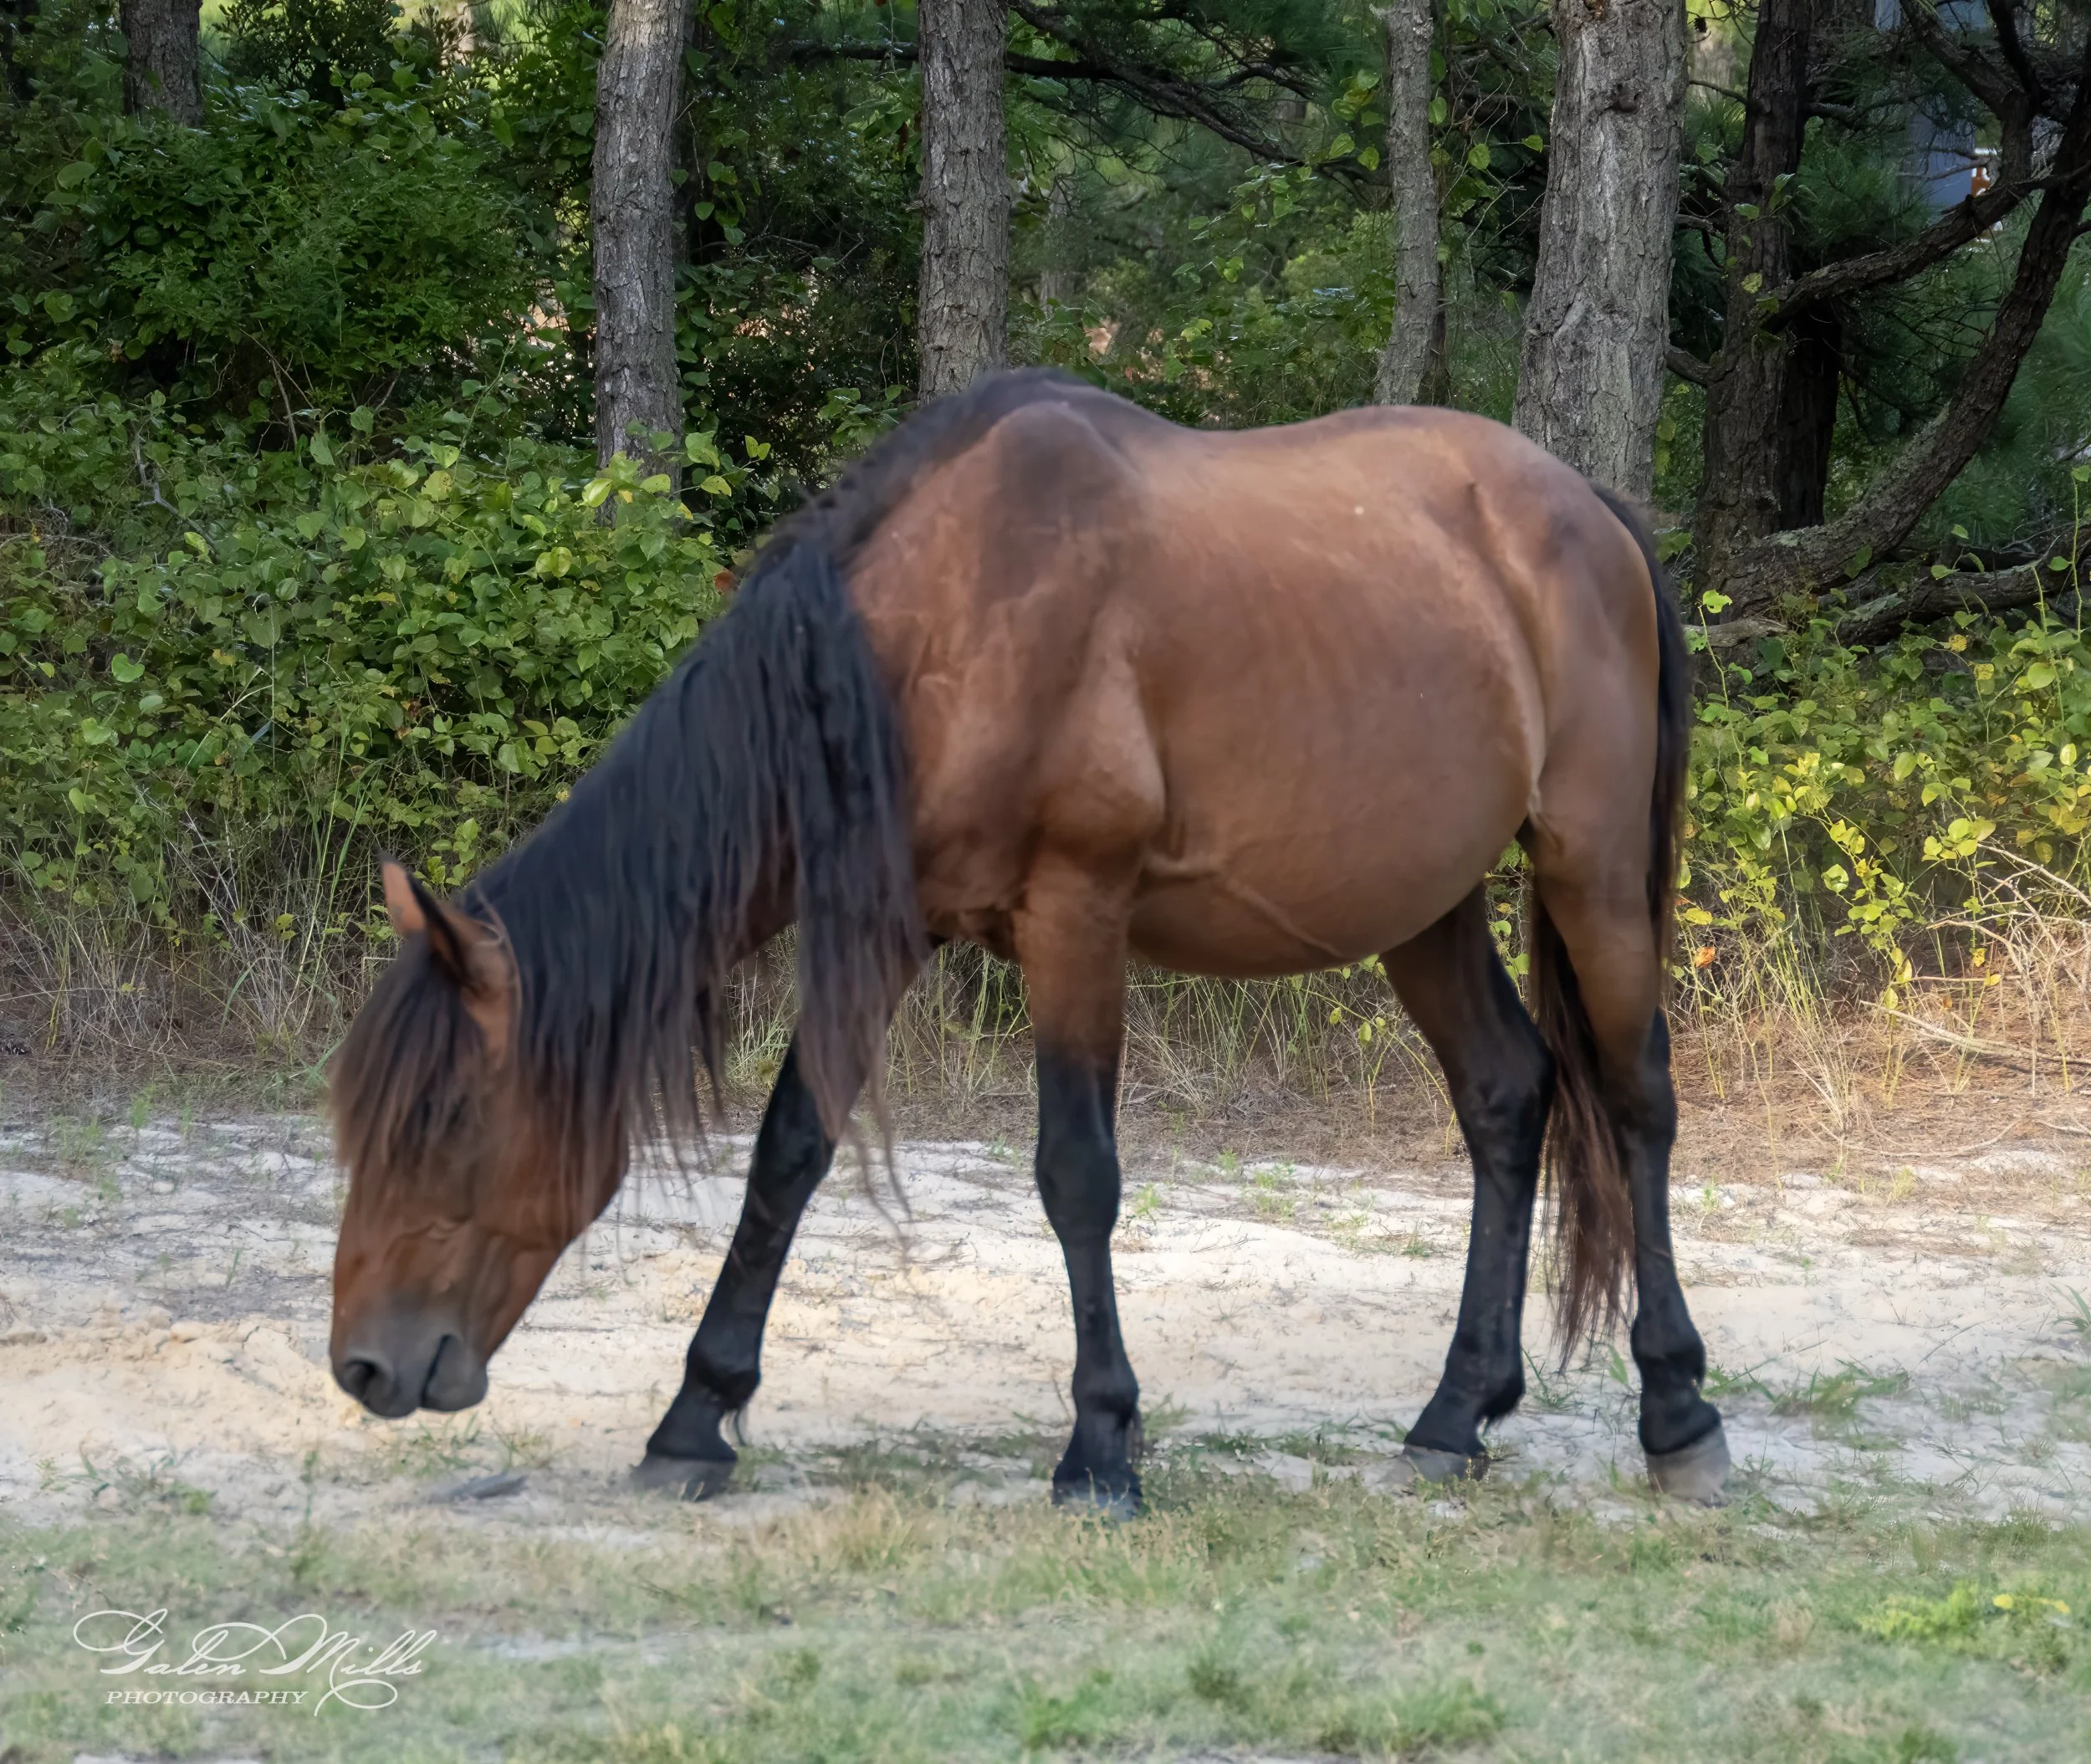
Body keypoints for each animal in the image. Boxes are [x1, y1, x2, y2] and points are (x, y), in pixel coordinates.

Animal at [327, 369, 1730, 1513]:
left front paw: (1102, 1446)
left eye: (446, 1118)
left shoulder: (1076, 914)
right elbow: (789, 1155)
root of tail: (1588, 506)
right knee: (1507, 1093)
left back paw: (1679, 1412)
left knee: (1636, 1099)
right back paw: (1454, 1414)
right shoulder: (887, 931)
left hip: (1594, 871)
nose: (363, 1365)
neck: (933, 637)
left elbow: (1077, 1173)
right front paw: (694, 1419)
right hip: (1423, 908)